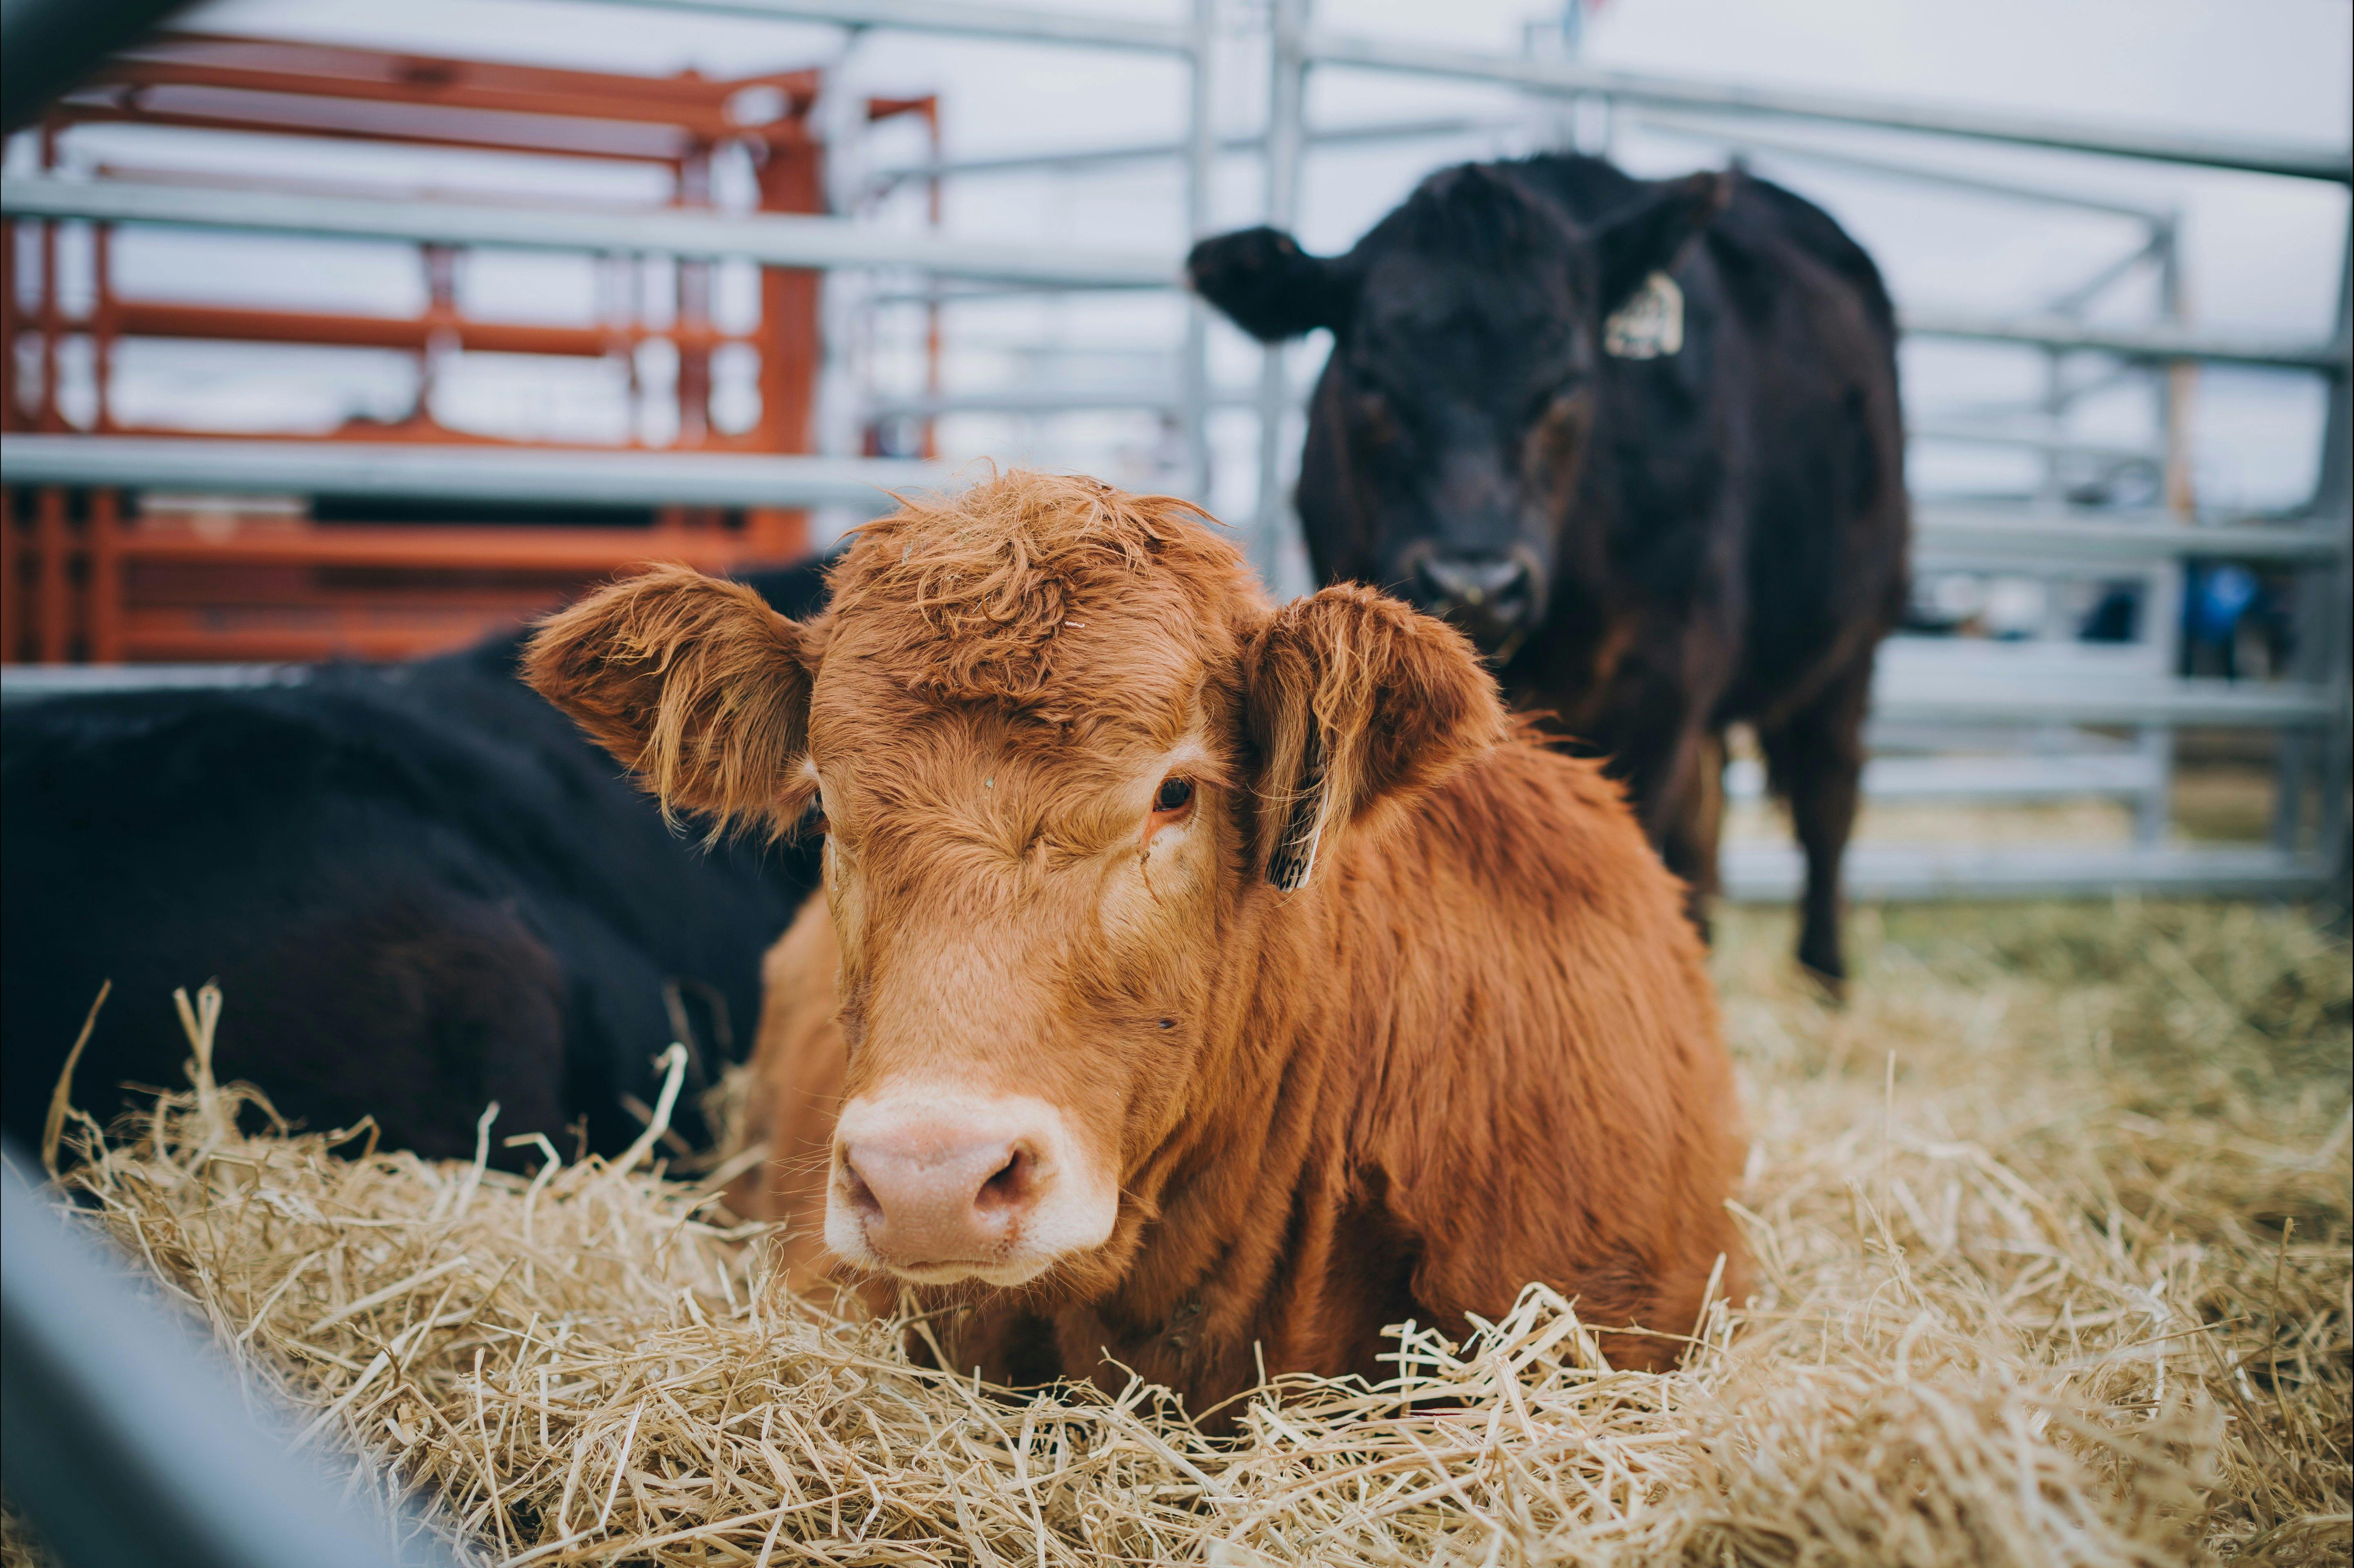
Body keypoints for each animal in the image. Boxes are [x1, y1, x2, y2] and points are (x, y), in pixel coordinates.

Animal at [1187, 154, 1911, 986]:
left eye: (1567, 381)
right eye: (1368, 377)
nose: (1475, 581)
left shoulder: (1661, 681)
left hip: (1853, 644)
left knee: (1829, 793)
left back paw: (1823, 970)